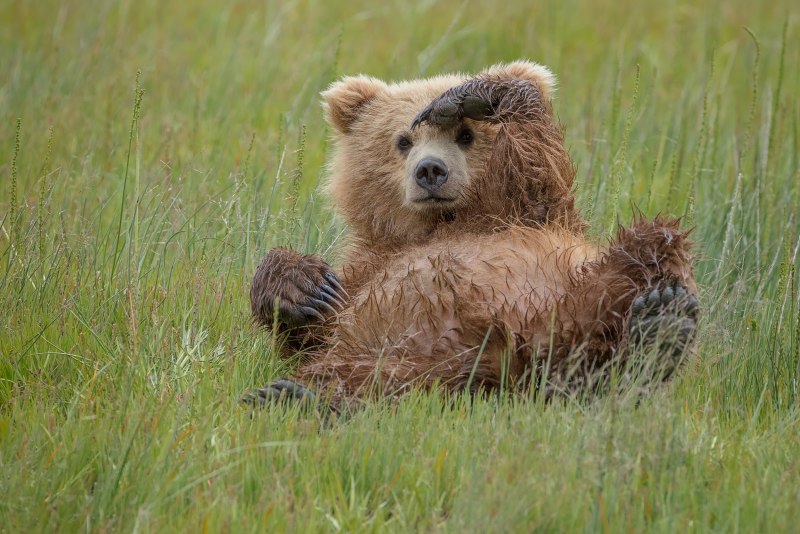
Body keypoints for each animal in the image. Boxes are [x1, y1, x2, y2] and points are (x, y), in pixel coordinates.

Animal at [245, 61, 699, 412]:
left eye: (466, 135)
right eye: (402, 140)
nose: (430, 170)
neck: (446, 221)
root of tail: (513, 356)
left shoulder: (536, 214)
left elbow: (539, 163)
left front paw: (468, 96)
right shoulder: (369, 265)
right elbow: (313, 329)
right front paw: (305, 287)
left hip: (585, 289)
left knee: (651, 245)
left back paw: (661, 324)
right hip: (402, 355)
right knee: (366, 378)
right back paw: (292, 396)